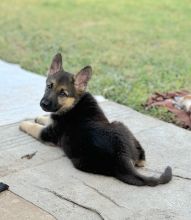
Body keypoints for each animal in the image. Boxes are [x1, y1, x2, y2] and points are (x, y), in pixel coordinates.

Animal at [19, 52, 172, 186]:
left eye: (63, 93)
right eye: (49, 86)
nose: (43, 104)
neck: (73, 103)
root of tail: (122, 157)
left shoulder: (48, 134)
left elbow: (34, 127)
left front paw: (24, 123)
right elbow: (47, 119)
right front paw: (40, 117)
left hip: (81, 160)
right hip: (121, 126)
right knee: (142, 158)